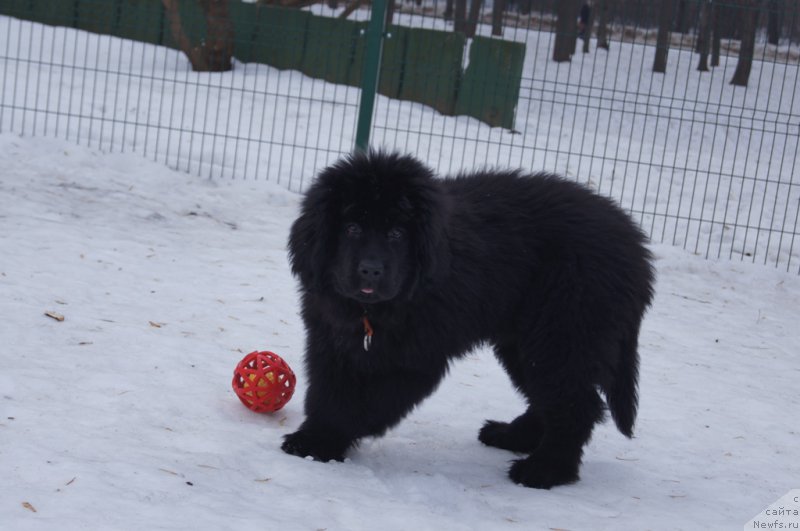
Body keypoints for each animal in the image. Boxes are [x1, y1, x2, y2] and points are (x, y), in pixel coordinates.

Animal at [284, 151, 652, 490]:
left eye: (397, 233)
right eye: (352, 228)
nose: (371, 270)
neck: (371, 312)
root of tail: (637, 248)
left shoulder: (411, 359)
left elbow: (364, 401)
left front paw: (326, 439)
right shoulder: (330, 339)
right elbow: (328, 391)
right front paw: (315, 437)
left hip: (564, 331)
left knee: (576, 404)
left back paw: (544, 470)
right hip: (527, 342)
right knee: (549, 397)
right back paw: (513, 436)